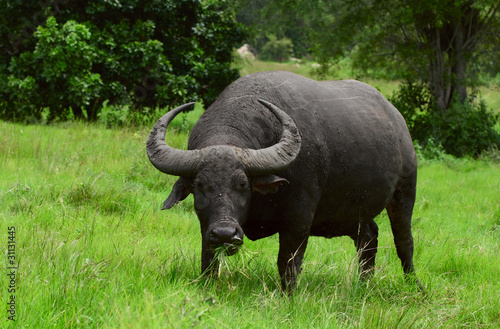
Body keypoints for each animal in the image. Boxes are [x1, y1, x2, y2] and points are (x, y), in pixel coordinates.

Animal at [147, 70, 418, 290]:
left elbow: (288, 263)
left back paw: (414, 286)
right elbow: (208, 259)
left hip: (405, 191)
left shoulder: (299, 221)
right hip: (353, 212)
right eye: (200, 186)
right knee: (368, 238)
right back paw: (363, 285)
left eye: (242, 185)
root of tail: (398, 121)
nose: (225, 233)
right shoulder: (207, 226)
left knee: (403, 241)